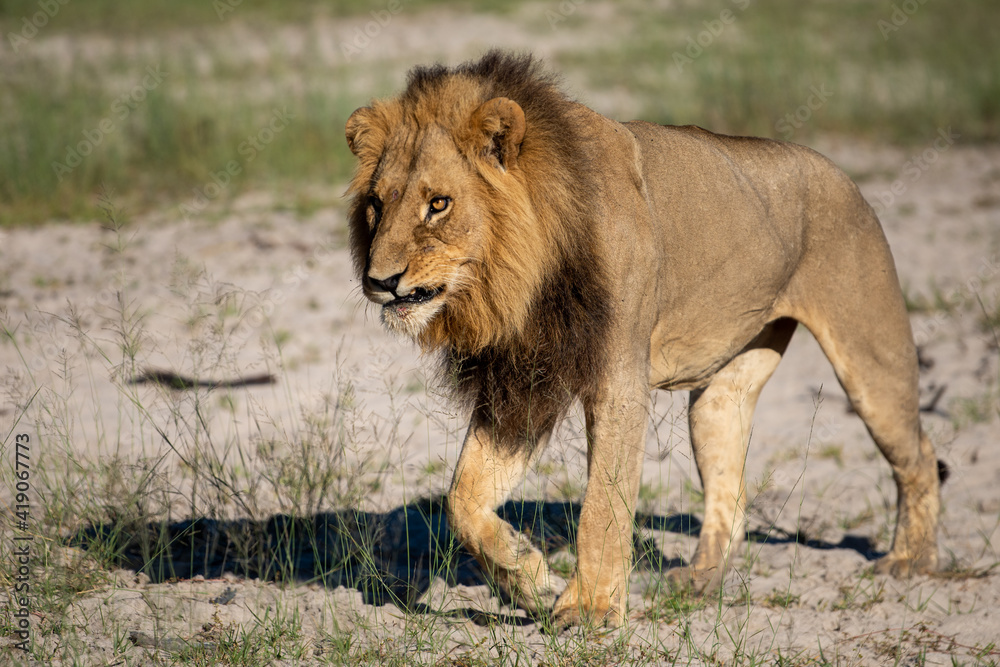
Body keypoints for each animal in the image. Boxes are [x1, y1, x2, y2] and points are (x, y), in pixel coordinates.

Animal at [344, 50, 941, 627]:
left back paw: (911, 561)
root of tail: (839, 172)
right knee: (731, 493)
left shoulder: (618, 381)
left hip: (870, 355)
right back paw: (699, 581)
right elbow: (462, 500)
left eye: (438, 204)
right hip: (718, 399)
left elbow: (603, 504)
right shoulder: (520, 384)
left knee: (920, 453)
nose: (379, 281)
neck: (516, 284)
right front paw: (529, 584)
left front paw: (589, 611)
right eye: (377, 204)